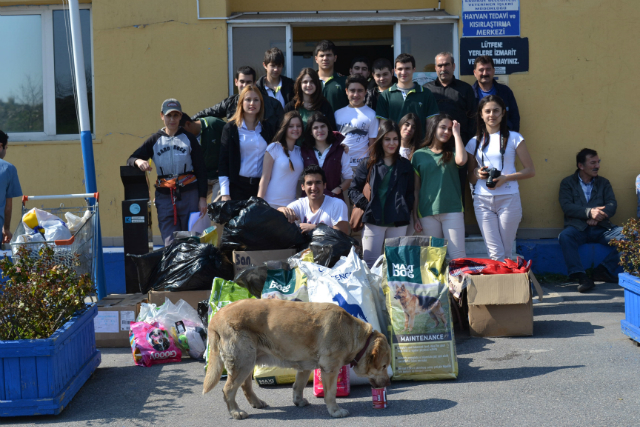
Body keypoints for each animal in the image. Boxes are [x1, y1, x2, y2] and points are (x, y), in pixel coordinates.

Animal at [202, 300, 390, 420]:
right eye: (384, 365)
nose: (388, 382)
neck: (353, 335)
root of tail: (215, 318)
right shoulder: (330, 369)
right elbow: (330, 394)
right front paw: (335, 411)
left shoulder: (305, 366)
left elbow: (298, 386)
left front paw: (298, 401)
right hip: (244, 361)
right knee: (228, 390)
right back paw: (235, 412)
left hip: (248, 361)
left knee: (245, 386)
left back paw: (256, 402)